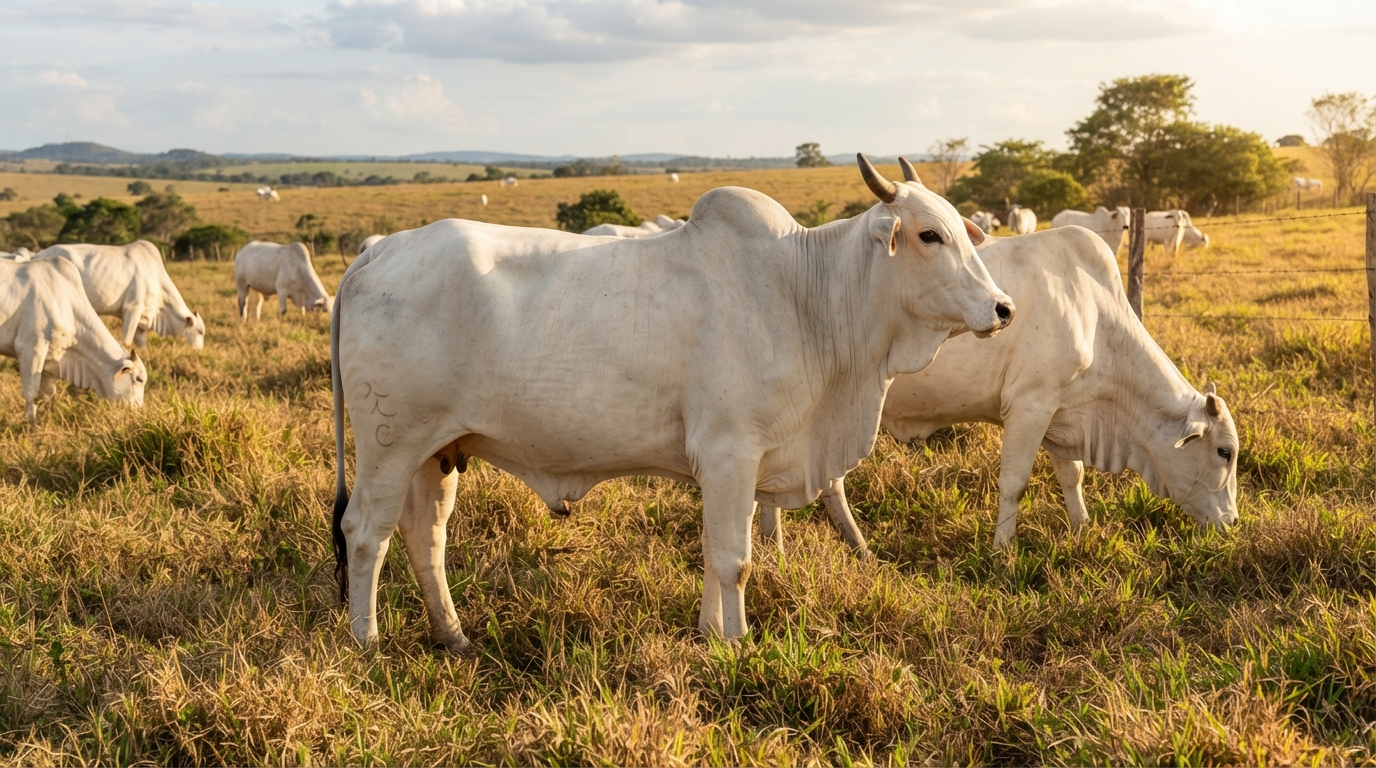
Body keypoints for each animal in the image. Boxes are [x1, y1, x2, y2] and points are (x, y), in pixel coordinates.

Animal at [0, 257, 147, 423]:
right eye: (139, 379)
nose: (138, 412)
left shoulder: (49, 362)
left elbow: (48, 394)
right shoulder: (30, 349)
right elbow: (32, 394)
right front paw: (31, 425)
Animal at [35, 241, 206, 349]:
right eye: (200, 332)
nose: (199, 350)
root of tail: (37, 255)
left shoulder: (143, 320)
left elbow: (141, 344)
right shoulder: (132, 309)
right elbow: (127, 341)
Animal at [328, 155, 1015, 649]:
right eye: (929, 235)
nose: (1003, 308)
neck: (805, 293)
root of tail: (377, 250)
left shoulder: (738, 464)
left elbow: (715, 552)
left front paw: (711, 634)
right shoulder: (731, 452)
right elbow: (735, 559)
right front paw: (738, 643)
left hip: (437, 450)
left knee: (424, 536)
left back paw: (454, 637)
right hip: (390, 446)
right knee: (365, 532)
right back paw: (367, 643)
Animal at [756, 226, 1238, 554]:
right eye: (1224, 452)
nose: (1232, 522)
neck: (1093, 312)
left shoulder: (1060, 413)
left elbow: (1072, 476)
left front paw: (1082, 527)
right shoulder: (1029, 406)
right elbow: (1014, 483)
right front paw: (1001, 550)